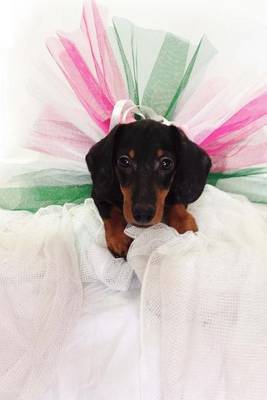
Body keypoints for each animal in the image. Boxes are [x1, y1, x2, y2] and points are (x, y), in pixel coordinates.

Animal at [86, 119, 211, 258]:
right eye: (124, 161)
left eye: (166, 163)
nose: (143, 214)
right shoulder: (99, 193)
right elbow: (111, 213)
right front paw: (119, 239)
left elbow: (176, 201)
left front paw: (183, 221)